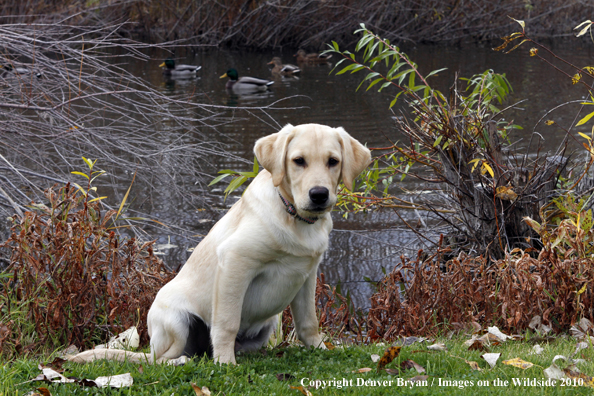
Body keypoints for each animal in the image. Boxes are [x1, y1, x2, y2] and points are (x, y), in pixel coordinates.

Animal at [68, 123, 366, 366]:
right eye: (298, 161)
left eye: (333, 161)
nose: (319, 195)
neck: (295, 218)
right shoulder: (235, 262)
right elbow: (227, 322)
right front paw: (225, 362)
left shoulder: (306, 274)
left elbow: (308, 322)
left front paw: (320, 349)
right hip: (176, 321)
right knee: (161, 359)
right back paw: (185, 360)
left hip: (267, 325)